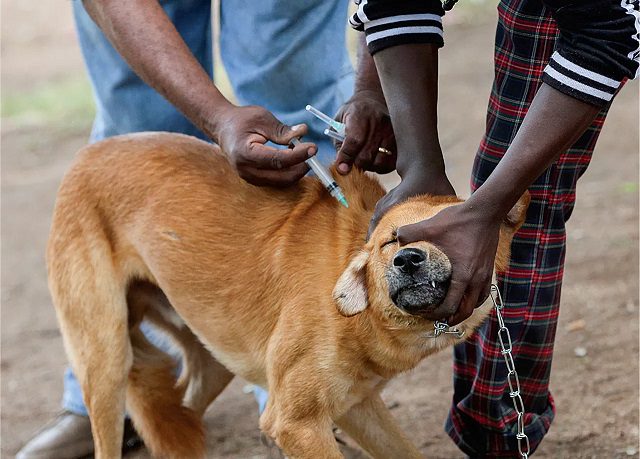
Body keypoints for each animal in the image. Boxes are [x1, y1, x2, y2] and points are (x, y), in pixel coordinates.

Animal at [46, 131, 528, 458]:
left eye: (450, 233)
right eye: (392, 241)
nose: (407, 260)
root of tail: (86, 154)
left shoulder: (356, 405)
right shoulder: (295, 422)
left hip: (208, 358)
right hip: (105, 362)